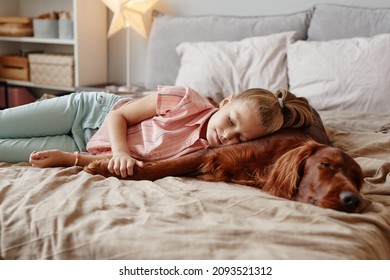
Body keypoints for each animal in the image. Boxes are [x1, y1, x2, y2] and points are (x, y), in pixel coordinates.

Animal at [85, 110, 362, 213]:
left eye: (358, 181)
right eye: (326, 164)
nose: (353, 200)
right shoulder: (211, 153)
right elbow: (163, 166)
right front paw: (106, 166)